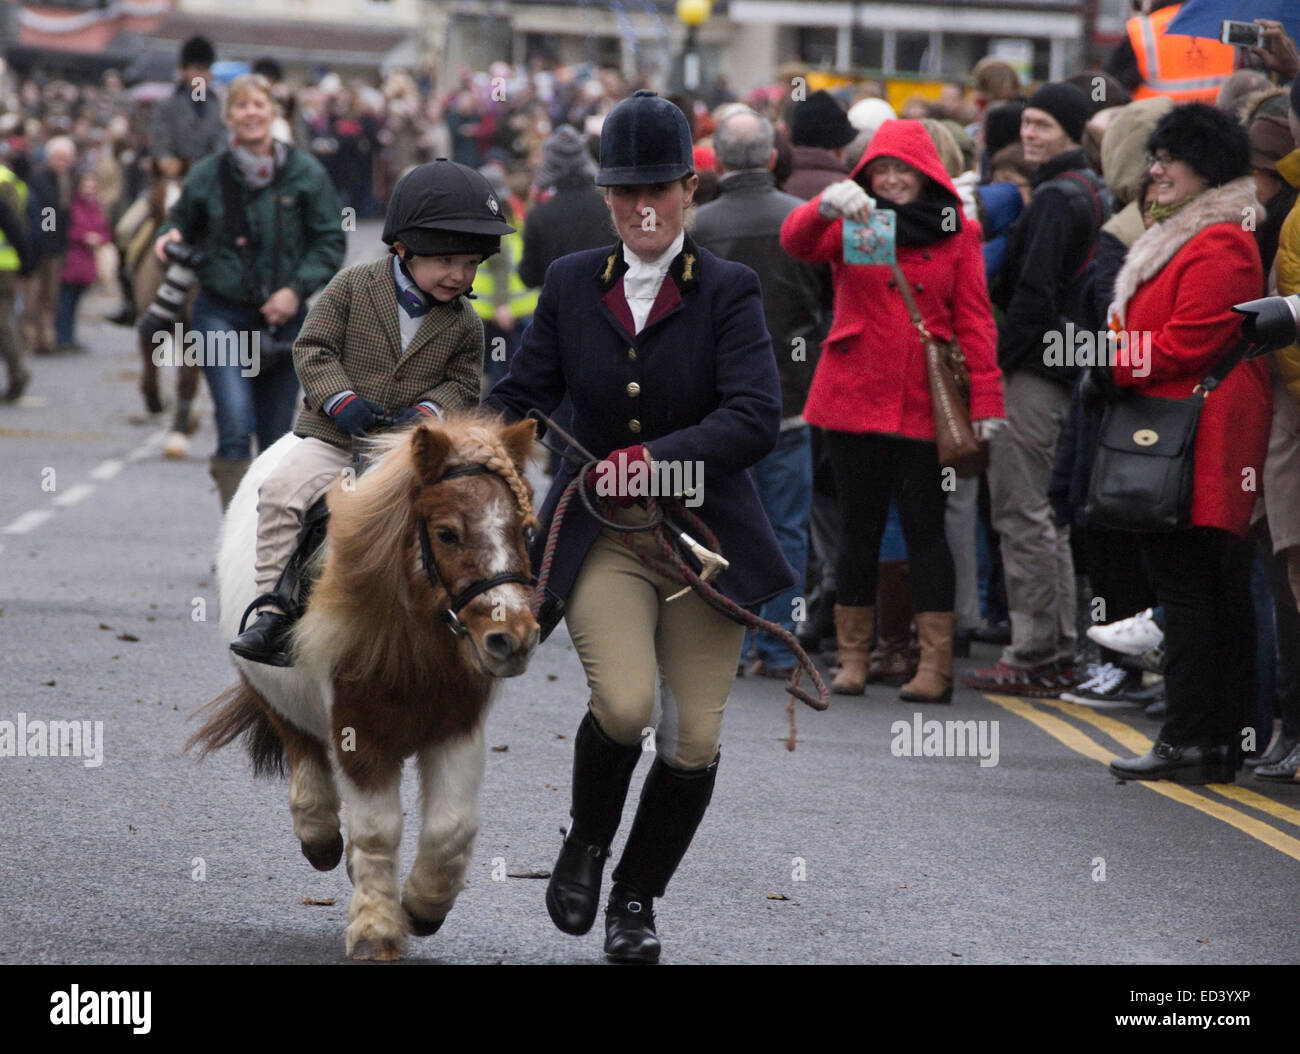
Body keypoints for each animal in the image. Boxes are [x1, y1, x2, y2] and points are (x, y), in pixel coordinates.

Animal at [187, 415, 538, 961]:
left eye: (524, 530)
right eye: (447, 533)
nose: (513, 638)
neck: (410, 635)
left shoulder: (457, 729)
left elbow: (451, 828)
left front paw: (422, 907)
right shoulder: (359, 732)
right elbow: (377, 831)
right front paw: (376, 928)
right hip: (277, 697)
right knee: (304, 754)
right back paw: (320, 836)